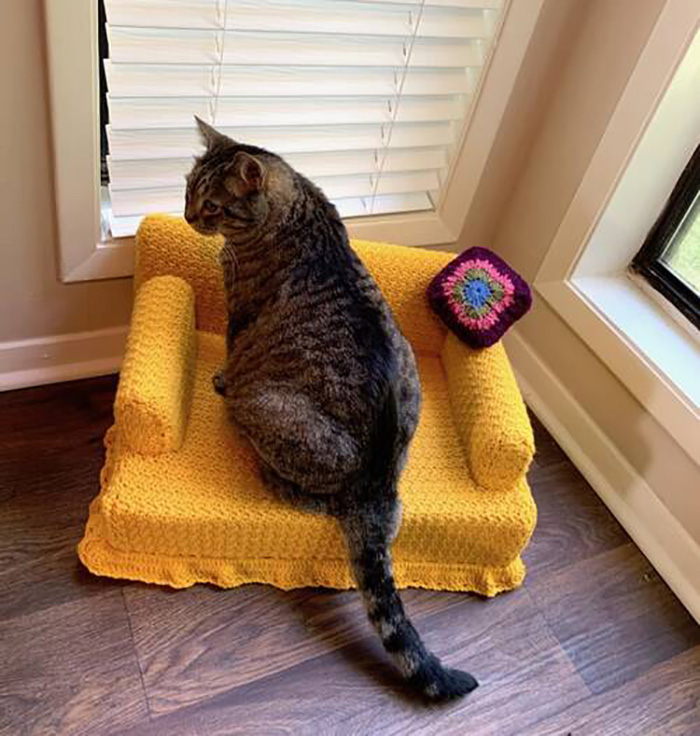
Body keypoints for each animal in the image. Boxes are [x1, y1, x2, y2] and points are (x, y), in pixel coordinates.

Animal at [183, 119, 478, 700]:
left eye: (212, 206)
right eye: (188, 191)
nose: (186, 216)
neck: (298, 210)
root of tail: (376, 488)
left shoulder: (239, 315)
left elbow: (230, 352)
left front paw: (220, 376)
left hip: (267, 406)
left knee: (311, 498)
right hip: (409, 378)